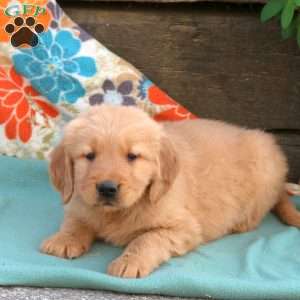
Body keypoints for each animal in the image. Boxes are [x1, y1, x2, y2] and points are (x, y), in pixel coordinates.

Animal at [41, 104, 300, 278]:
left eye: (132, 156)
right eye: (89, 155)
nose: (107, 188)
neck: (117, 213)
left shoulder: (184, 228)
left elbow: (147, 238)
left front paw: (129, 262)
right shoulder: (78, 203)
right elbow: (75, 222)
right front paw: (63, 240)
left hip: (265, 169)